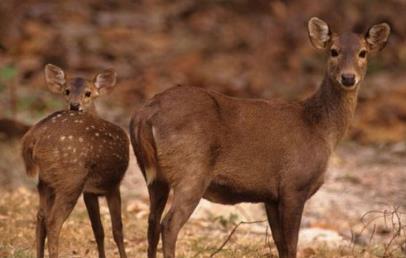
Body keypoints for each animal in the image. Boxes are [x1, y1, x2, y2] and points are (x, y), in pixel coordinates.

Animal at [21, 64, 129, 258]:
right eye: (67, 91)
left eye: (88, 93)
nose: (74, 105)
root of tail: (33, 135)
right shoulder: (113, 185)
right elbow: (117, 230)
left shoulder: (90, 192)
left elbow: (98, 230)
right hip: (71, 179)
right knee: (53, 221)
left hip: (46, 181)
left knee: (40, 217)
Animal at [129, 17, 390, 256]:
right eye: (334, 51)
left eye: (363, 52)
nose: (348, 78)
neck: (321, 129)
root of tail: (145, 113)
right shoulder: (294, 185)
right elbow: (291, 246)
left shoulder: (271, 196)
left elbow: (281, 244)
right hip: (191, 171)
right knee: (169, 224)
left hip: (154, 176)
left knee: (152, 223)